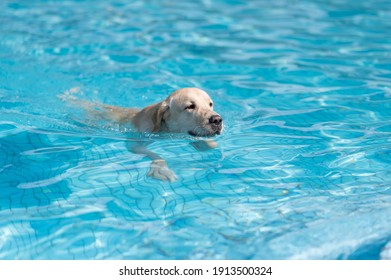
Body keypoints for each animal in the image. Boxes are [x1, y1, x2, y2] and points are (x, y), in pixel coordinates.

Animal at [63, 87, 224, 183]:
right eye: (190, 106)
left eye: (210, 104)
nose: (217, 120)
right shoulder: (136, 141)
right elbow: (155, 155)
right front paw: (161, 169)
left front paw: (207, 144)